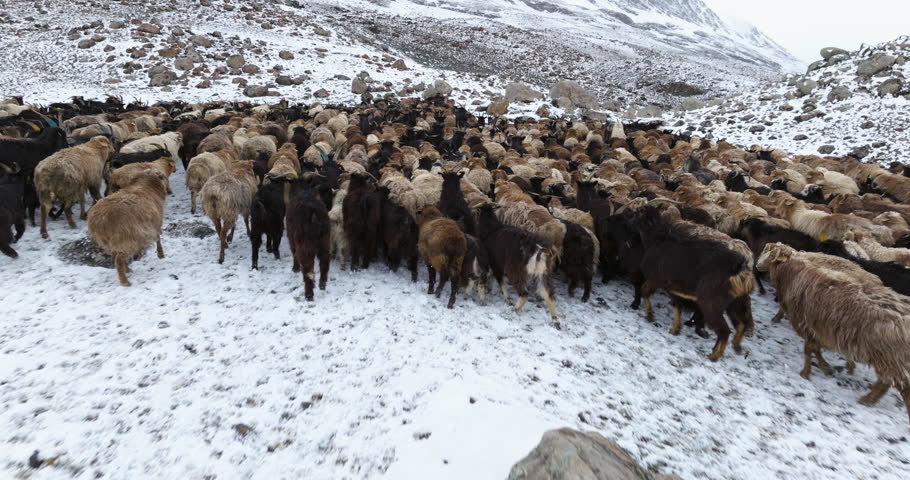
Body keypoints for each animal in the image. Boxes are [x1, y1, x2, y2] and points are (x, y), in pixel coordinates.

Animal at [756, 243, 910, 426]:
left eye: (769, 253)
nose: (756, 266)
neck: (790, 272)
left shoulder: (805, 324)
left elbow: (809, 349)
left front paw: (806, 372)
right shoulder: (818, 329)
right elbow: (815, 348)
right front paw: (826, 368)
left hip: (888, 356)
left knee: (898, 385)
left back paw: (868, 399)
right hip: (888, 357)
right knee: (888, 382)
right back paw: (866, 395)